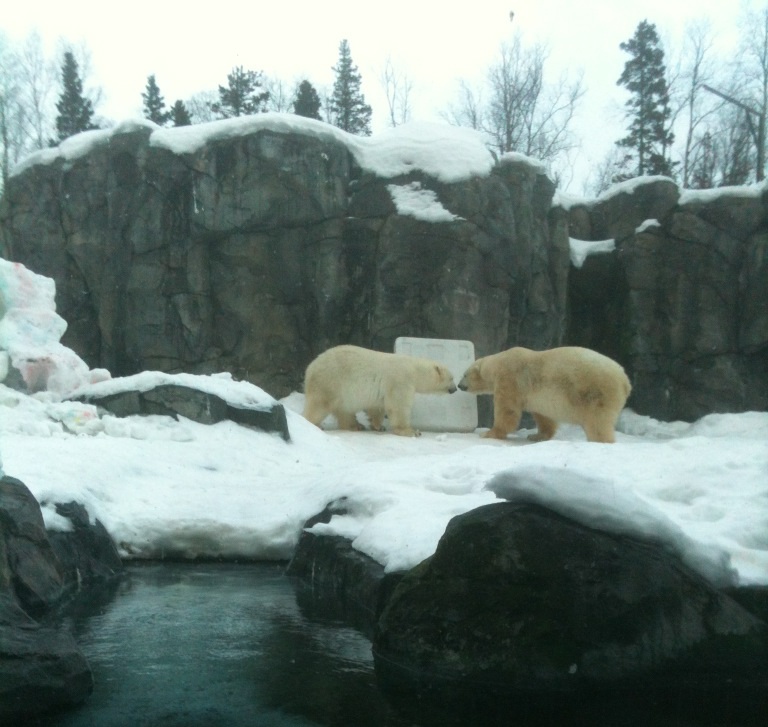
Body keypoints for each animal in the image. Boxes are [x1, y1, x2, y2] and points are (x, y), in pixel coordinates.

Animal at [303, 344, 457, 437]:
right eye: (451, 378)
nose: (455, 389)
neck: (414, 369)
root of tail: (310, 368)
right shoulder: (400, 380)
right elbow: (398, 406)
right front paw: (411, 431)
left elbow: (376, 407)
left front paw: (378, 426)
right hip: (330, 382)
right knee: (319, 406)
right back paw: (313, 424)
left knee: (344, 410)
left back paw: (356, 426)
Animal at [458, 346, 631, 443]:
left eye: (464, 374)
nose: (459, 385)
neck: (497, 363)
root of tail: (625, 380)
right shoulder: (536, 395)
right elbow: (544, 416)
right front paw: (536, 436)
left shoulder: (509, 378)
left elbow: (507, 411)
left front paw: (489, 433)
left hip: (596, 392)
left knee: (597, 421)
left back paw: (599, 441)